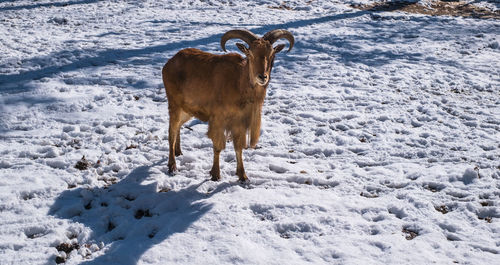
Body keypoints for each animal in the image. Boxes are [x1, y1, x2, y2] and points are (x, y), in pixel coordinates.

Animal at [162, 28, 292, 182]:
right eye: (250, 54)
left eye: (272, 54)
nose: (262, 77)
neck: (239, 84)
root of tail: (169, 63)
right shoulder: (218, 120)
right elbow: (218, 146)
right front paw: (215, 174)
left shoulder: (239, 123)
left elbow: (238, 148)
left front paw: (243, 176)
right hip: (174, 105)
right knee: (171, 131)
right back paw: (172, 165)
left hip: (187, 110)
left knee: (178, 128)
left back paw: (178, 152)